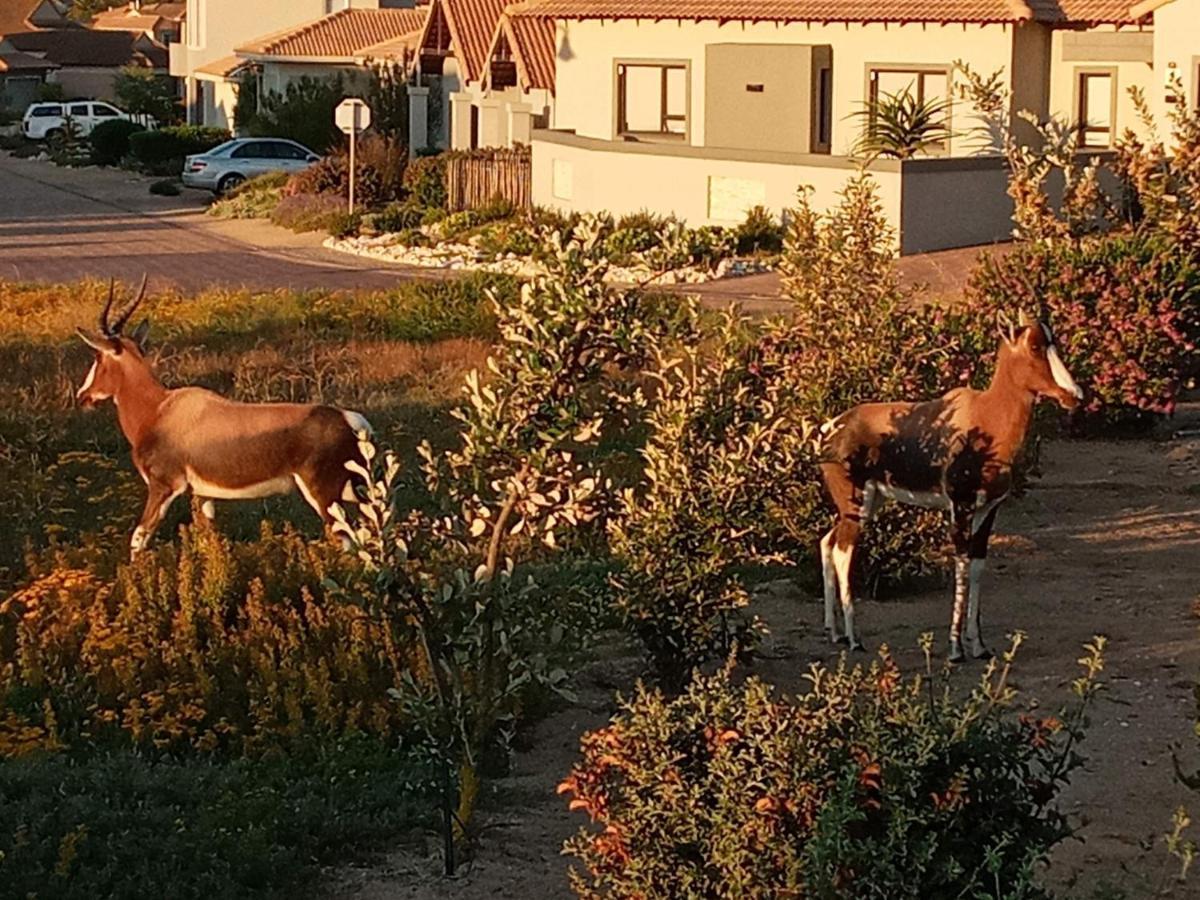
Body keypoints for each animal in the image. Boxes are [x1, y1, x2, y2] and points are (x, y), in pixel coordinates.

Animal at [75, 278, 369, 561]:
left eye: (98, 357)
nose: (82, 396)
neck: (160, 409)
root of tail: (351, 421)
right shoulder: (203, 494)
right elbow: (208, 540)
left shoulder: (164, 487)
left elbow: (138, 539)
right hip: (355, 493)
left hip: (325, 496)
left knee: (349, 543)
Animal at [816, 314, 1089, 662]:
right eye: (1035, 346)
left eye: (1054, 341)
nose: (1075, 395)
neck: (985, 415)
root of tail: (830, 428)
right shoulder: (960, 505)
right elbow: (960, 563)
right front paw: (956, 648)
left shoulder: (989, 508)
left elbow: (977, 565)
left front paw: (979, 645)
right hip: (855, 504)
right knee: (842, 551)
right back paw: (854, 639)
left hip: (869, 503)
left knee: (826, 541)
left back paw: (834, 632)